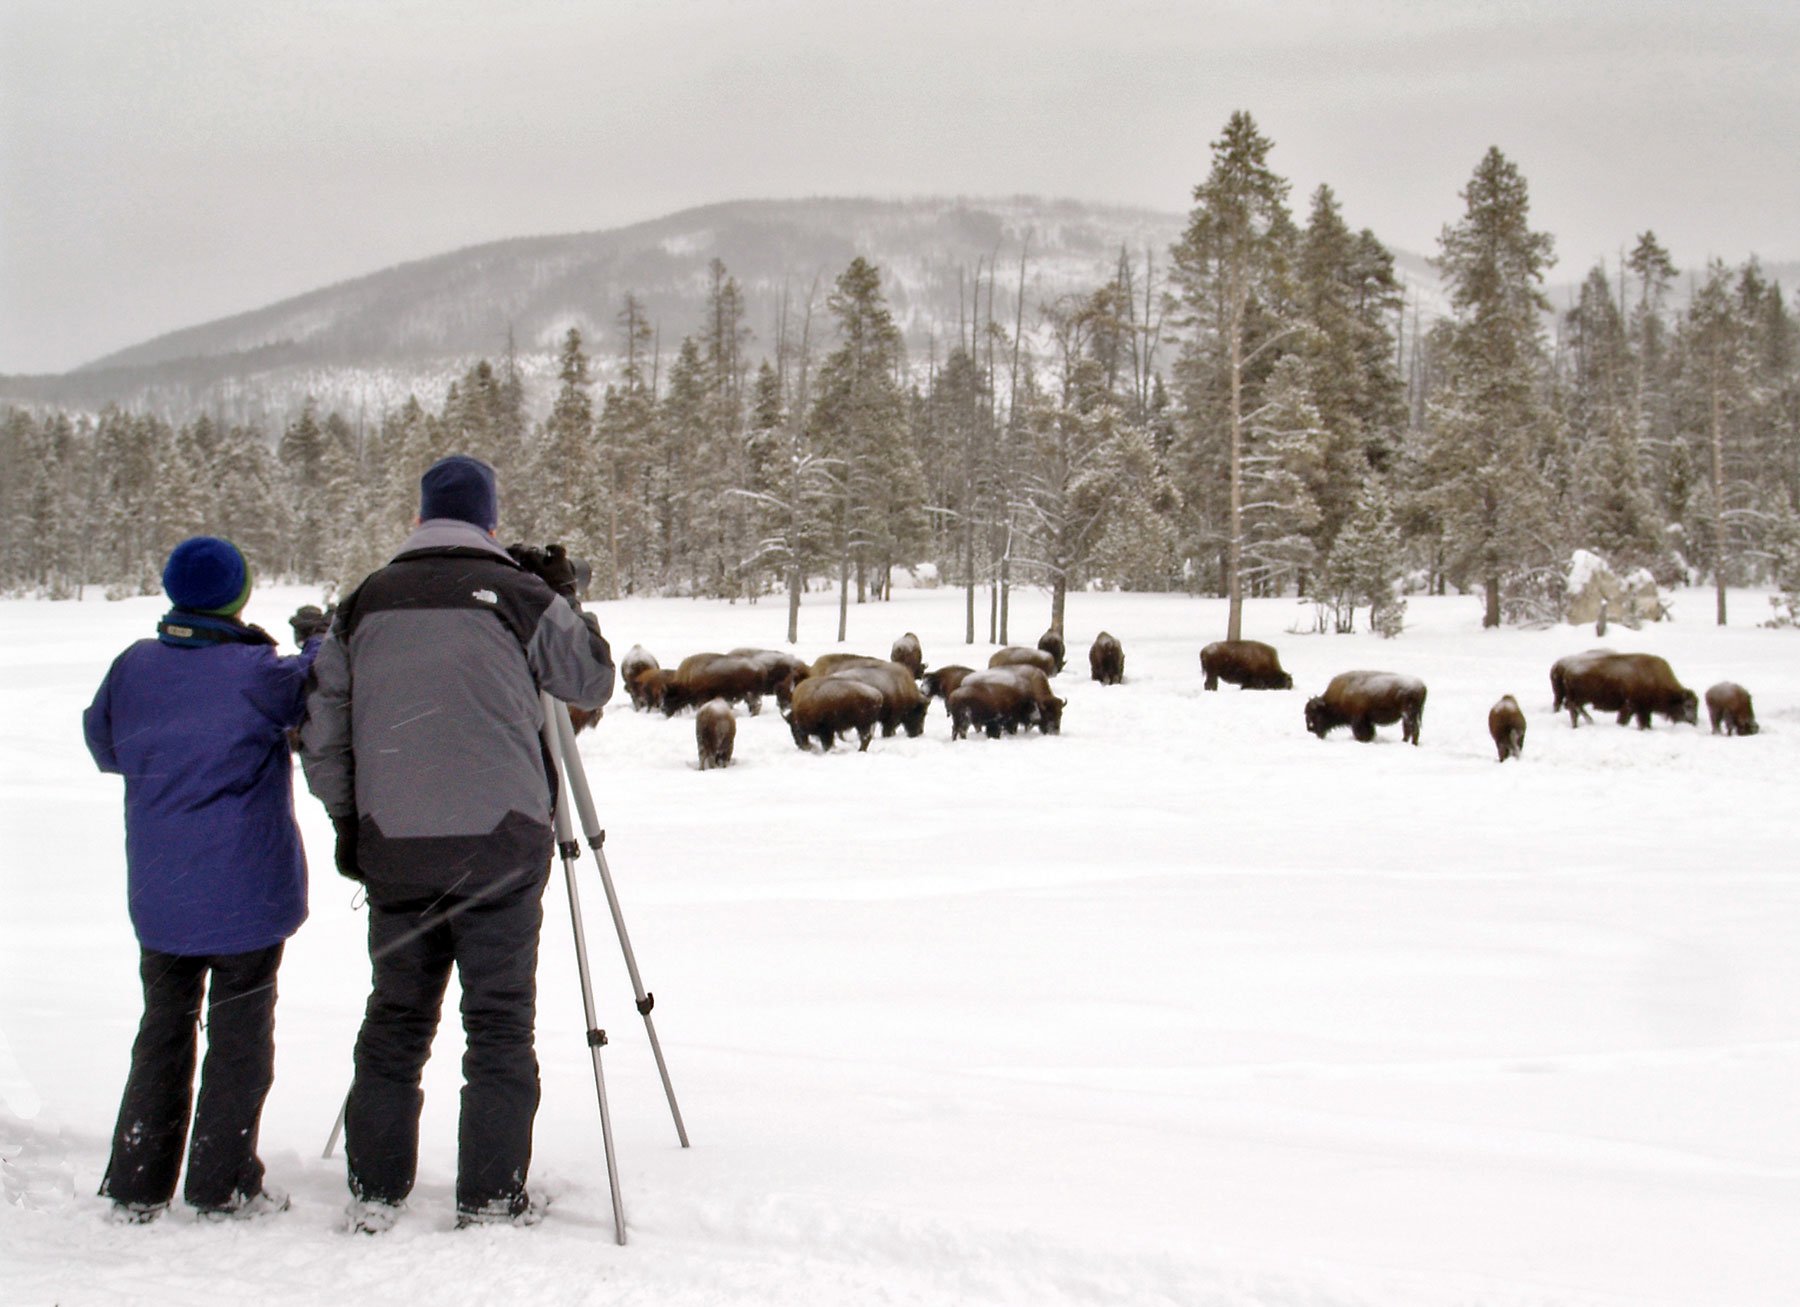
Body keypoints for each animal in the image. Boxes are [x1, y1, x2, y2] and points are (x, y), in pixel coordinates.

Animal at [1555, 655, 1692, 738]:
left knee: (1576, 710)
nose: (1693, 722)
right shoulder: (1630, 706)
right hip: (1580, 699)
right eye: (1688, 706)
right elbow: (1626, 720)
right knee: (1575, 710)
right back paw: (1582, 724)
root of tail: (1568, 671)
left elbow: (1645, 722)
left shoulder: (1643, 710)